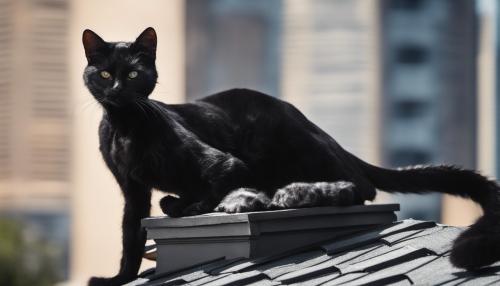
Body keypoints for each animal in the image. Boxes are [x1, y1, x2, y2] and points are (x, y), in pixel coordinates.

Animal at [83, 27, 500, 286]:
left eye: (133, 74)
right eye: (103, 74)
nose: (117, 90)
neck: (124, 125)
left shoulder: (225, 163)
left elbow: (209, 189)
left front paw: (191, 206)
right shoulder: (132, 190)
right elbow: (131, 236)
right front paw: (119, 278)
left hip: (283, 143)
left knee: (360, 187)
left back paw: (289, 196)